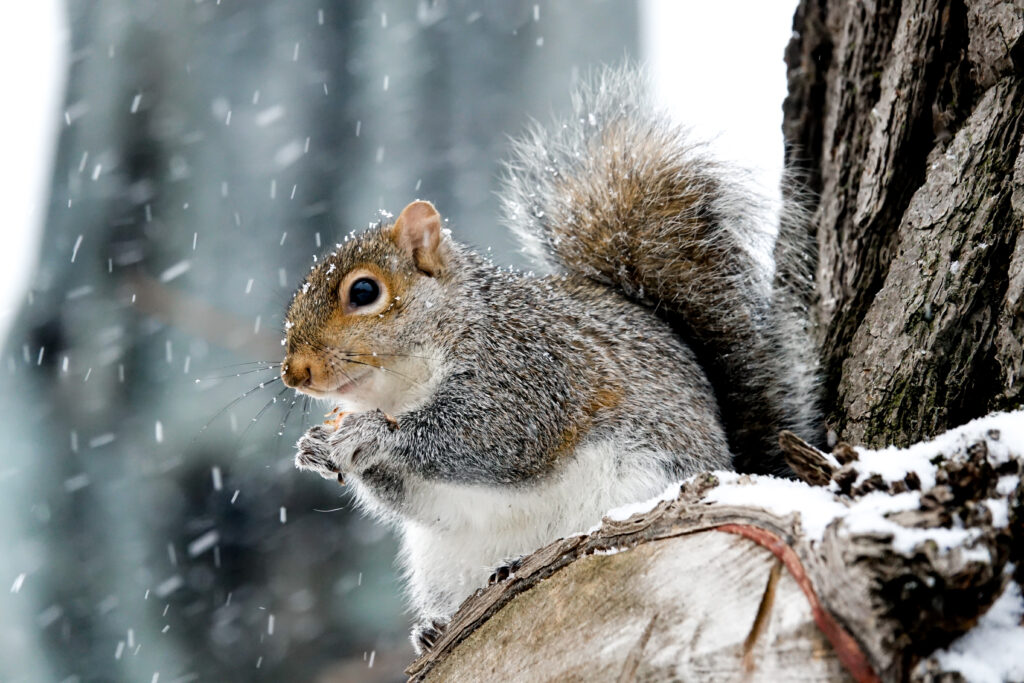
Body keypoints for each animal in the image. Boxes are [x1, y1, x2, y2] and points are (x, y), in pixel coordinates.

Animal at [282, 68, 821, 653]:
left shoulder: (531, 368)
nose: (294, 373)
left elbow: (491, 440)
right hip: (441, 560)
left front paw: (373, 435)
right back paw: (433, 628)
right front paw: (316, 447)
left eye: (364, 292)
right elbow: (409, 497)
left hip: (637, 484)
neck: (406, 384)